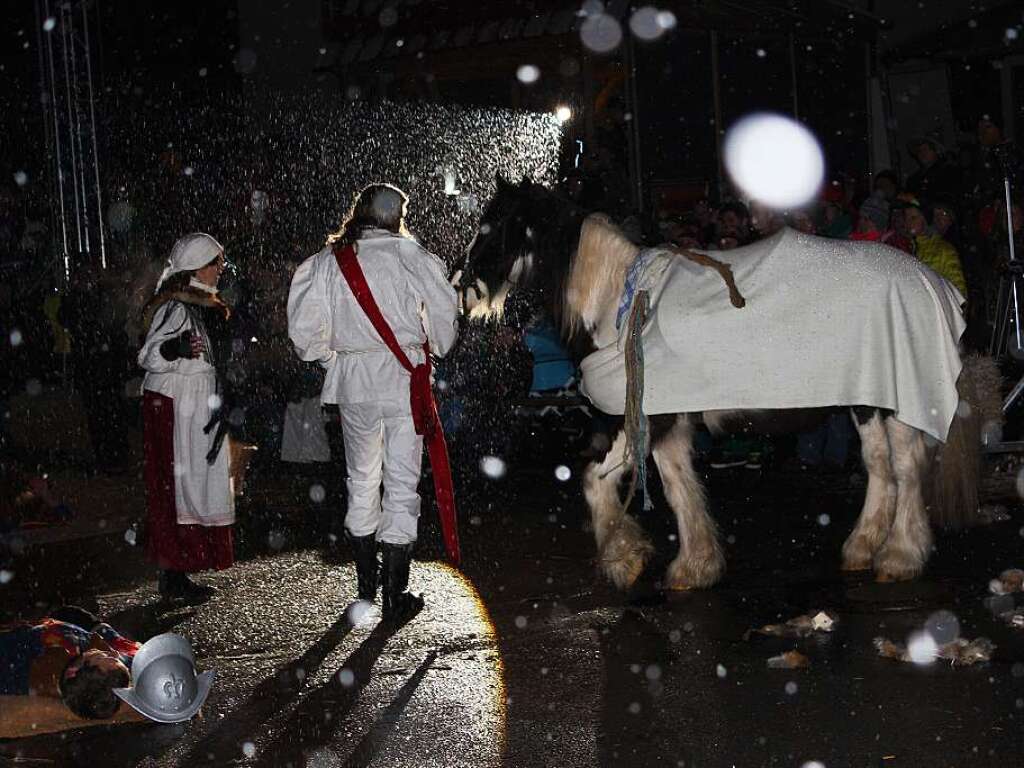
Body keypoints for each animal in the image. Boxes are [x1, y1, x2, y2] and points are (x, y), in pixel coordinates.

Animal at [458, 179, 999, 589]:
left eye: (491, 228)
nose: (462, 288)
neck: (620, 306)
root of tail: (931, 281)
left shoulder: (641, 420)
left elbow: (594, 479)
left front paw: (624, 558)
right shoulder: (670, 423)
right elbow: (679, 487)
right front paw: (695, 565)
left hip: (899, 404)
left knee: (906, 469)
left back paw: (901, 554)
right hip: (866, 402)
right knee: (880, 466)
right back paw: (863, 547)